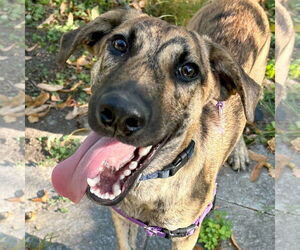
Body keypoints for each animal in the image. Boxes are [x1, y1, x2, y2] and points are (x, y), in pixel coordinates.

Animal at [51, 0, 270, 249]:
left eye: (189, 70)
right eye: (119, 44)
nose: (119, 114)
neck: (151, 181)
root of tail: (246, 3)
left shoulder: (186, 234)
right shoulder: (120, 216)